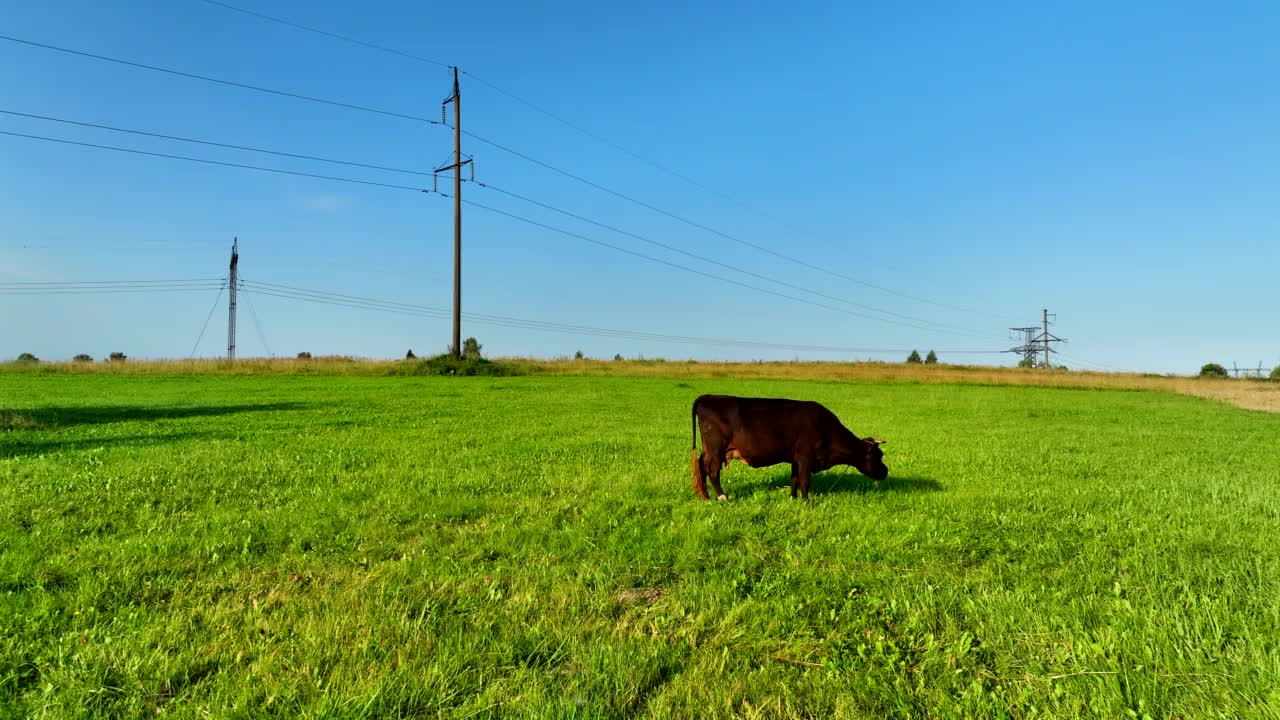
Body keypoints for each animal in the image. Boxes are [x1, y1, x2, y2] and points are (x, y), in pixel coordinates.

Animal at [691, 392, 890, 499]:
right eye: (878, 455)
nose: (886, 471)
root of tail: (709, 397)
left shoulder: (796, 459)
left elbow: (794, 479)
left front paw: (793, 498)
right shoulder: (805, 457)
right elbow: (805, 481)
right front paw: (806, 501)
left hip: (709, 450)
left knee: (701, 466)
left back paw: (705, 497)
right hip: (716, 449)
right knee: (712, 471)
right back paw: (721, 497)